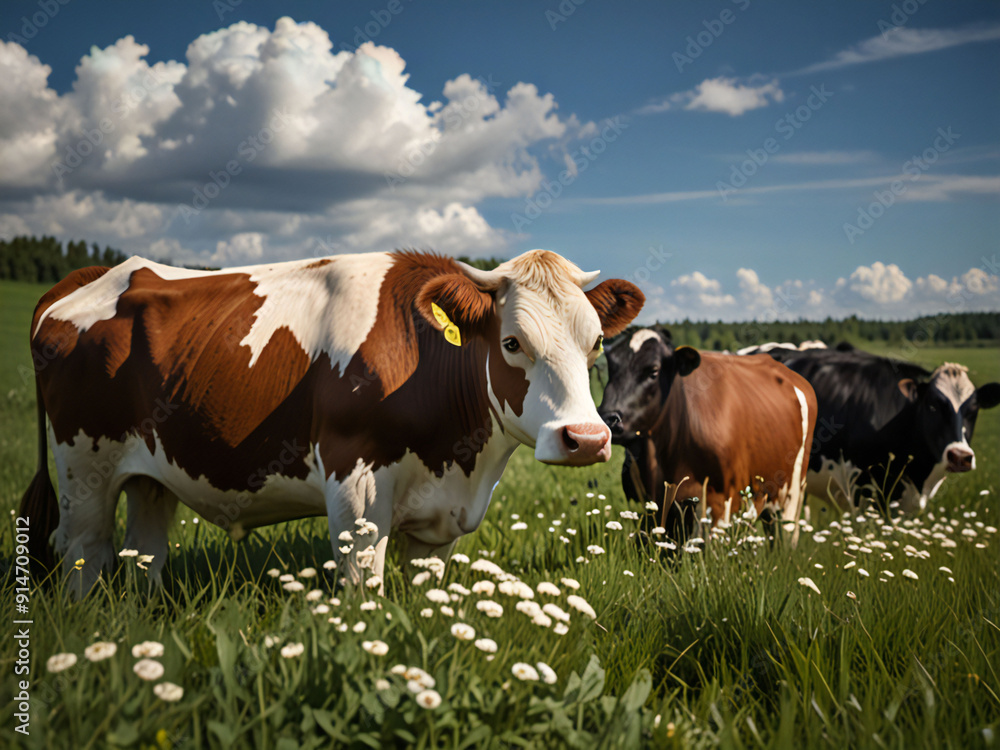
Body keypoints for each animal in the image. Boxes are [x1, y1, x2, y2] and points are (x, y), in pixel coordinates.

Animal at [19, 249, 644, 595]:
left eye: (595, 343)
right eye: (512, 342)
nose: (586, 439)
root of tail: (96, 274)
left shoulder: (440, 520)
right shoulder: (357, 488)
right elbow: (364, 590)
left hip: (153, 475)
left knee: (144, 554)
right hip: (82, 470)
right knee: (84, 552)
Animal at [597, 328, 817, 542]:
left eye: (653, 371)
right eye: (611, 367)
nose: (608, 418)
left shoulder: (719, 501)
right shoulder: (650, 506)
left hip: (792, 494)